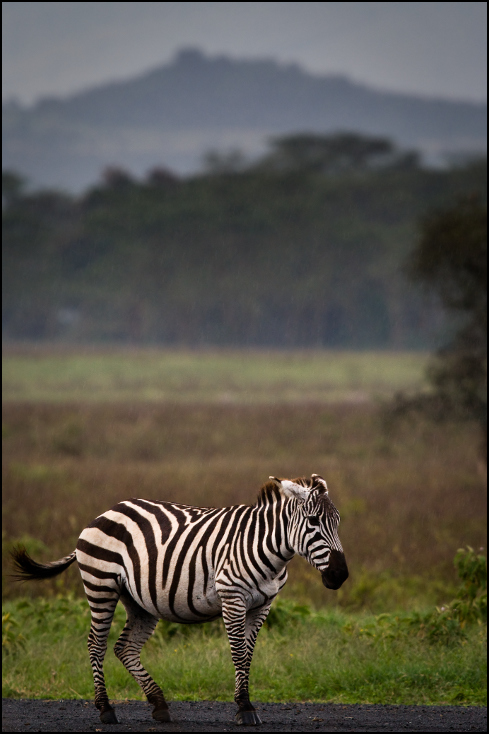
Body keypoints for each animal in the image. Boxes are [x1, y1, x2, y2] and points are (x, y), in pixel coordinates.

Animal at [11, 474, 346, 728]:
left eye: (338, 522)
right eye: (313, 521)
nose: (340, 575)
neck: (267, 548)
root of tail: (107, 511)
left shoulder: (263, 606)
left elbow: (248, 655)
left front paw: (245, 703)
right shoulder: (233, 597)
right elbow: (238, 653)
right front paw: (245, 708)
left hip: (139, 602)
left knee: (125, 647)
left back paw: (159, 704)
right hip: (100, 584)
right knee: (96, 643)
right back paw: (106, 709)